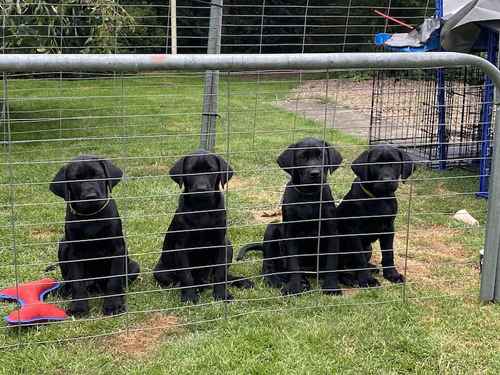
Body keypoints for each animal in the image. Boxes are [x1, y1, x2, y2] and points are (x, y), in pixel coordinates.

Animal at [50, 156, 140, 318]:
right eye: (75, 179)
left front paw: (113, 305)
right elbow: (77, 282)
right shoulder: (74, 253)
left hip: (134, 266)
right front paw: (78, 307)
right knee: (71, 280)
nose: (90, 197)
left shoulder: (118, 249)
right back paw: (64, 290)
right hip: (63, 244)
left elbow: (114, 280)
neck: (91, 216)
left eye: (98, 174)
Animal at [152, 148, 254, 304]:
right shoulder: (181, 247)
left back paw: (240, 281)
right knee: (182, 280)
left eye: (211, 170)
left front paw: (221, 295)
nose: (201, 189)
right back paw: (197, 286)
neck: (202, 208)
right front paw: (189, 297)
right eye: (190, 171)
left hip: (228, 245)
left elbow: (220, 273)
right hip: (160, 271)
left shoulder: (220, 243)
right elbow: (186, 275)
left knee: (218, 275)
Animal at [238, 138, 344, 296]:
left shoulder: (331, 233)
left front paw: (331, 286)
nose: (315, 173)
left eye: (322, 156)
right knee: (269, 266)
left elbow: (331, 262)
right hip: (271, 229)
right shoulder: (291, 234)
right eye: (302, 157)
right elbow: (294, 263)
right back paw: (278, 280)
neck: (308, 196)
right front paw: (294, 287)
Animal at [336, 145, 414, 286]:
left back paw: (371, 268)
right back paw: (349, 278)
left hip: (369, 247)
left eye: (395, 163)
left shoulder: (389, 229)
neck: (378, 198)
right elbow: (359, 257)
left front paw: (392, 275)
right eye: (375, 164)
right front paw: (367, 280)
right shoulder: (353, 231)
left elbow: (388, 254)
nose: (387, 181)